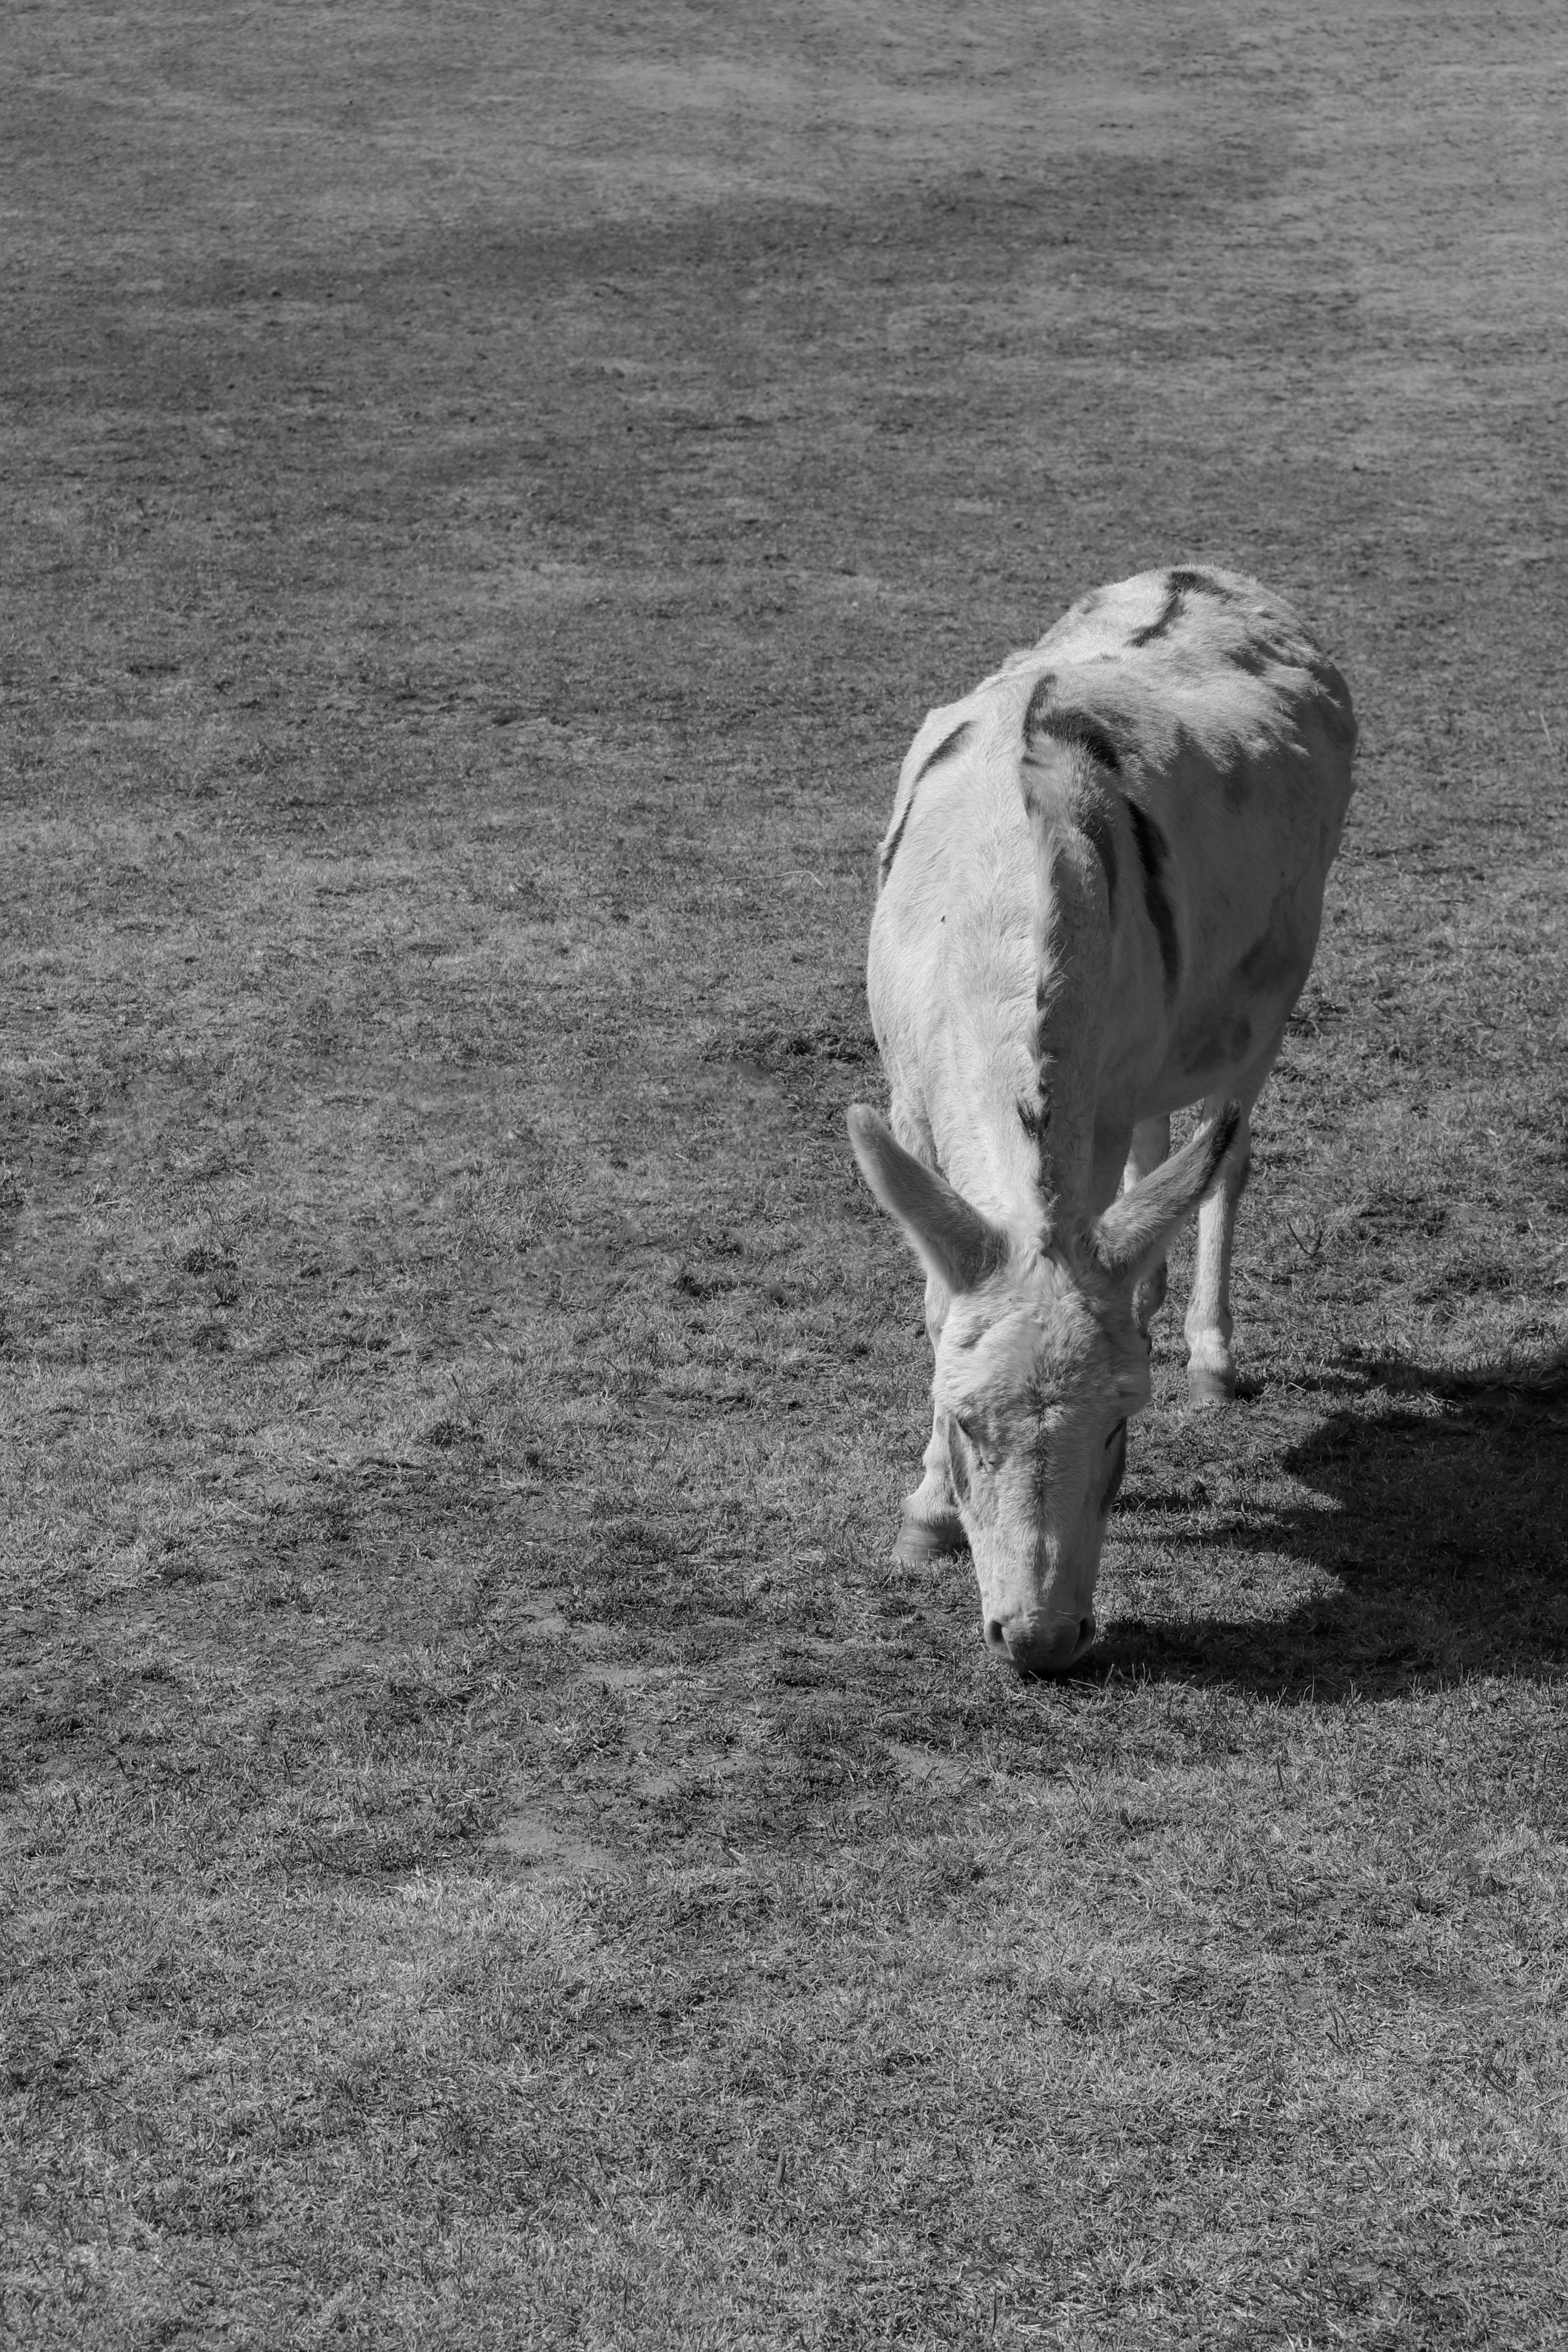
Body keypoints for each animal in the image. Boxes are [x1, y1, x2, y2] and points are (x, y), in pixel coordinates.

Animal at [848, 565, 1356, 1676]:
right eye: (964, 1424)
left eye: (1121, 1427)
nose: (1041, 1640)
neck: (990, 918)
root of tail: (1201, 573)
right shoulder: (909, 1106)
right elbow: (940, 1304)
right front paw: (924, 1518)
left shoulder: (1105, 1097)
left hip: (1272, 989)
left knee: (1224, 1154)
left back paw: (1207, 1348)